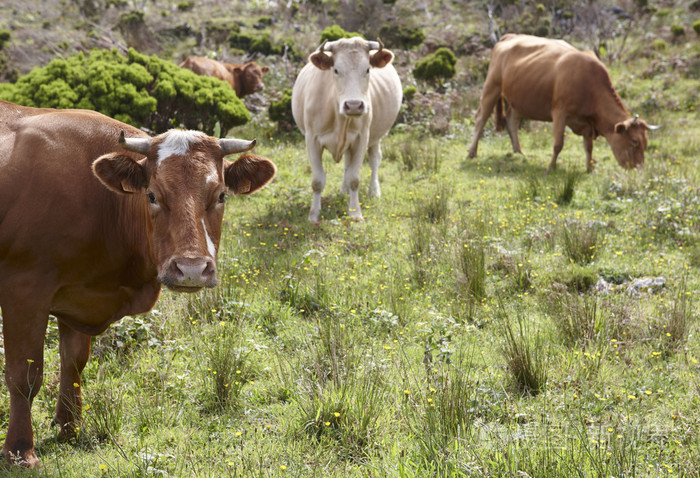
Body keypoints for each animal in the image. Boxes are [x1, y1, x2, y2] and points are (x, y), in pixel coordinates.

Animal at [0, 100, 278, 466]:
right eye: (152, 195)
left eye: (221, 195)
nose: (191, 268)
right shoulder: (24, 289)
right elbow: (24, 376)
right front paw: (20, 451)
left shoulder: (75, 294)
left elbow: (73, 361)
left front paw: (69, 429)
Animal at [292, 37, 402, 224]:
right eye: (336, 70)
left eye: (367, 69)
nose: (354, 105)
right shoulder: (312, 140)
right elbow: (317, 181)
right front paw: (314, 215)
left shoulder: (362, 138)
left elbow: (354, 178)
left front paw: (355, 213)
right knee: (347, 162)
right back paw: (343, 191)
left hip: (376, 137)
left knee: (374, 159)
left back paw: (374, 191)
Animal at [468, 33, 660, 173]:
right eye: (634, 141)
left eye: (645, 143)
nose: (640, 170)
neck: (590, 85)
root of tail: (509, 36)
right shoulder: (560, 112)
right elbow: (558, 144)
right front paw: (550, 168)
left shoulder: (587, 124)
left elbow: (589, 146)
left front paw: (589, 168)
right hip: (492, 86)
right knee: (481, 118)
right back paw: (471, 153)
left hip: (520, 100)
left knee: (511, 120)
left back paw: (519, 153)